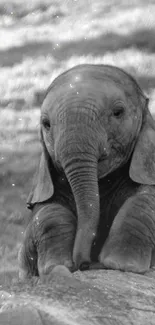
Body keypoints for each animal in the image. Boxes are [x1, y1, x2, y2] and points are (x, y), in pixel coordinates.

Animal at [18, 62, 155, 278]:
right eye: (46, 124)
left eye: (118, 112)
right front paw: (57, 267)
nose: (85, 264)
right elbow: (48, 211)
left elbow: (145, 200)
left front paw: (121, 264)